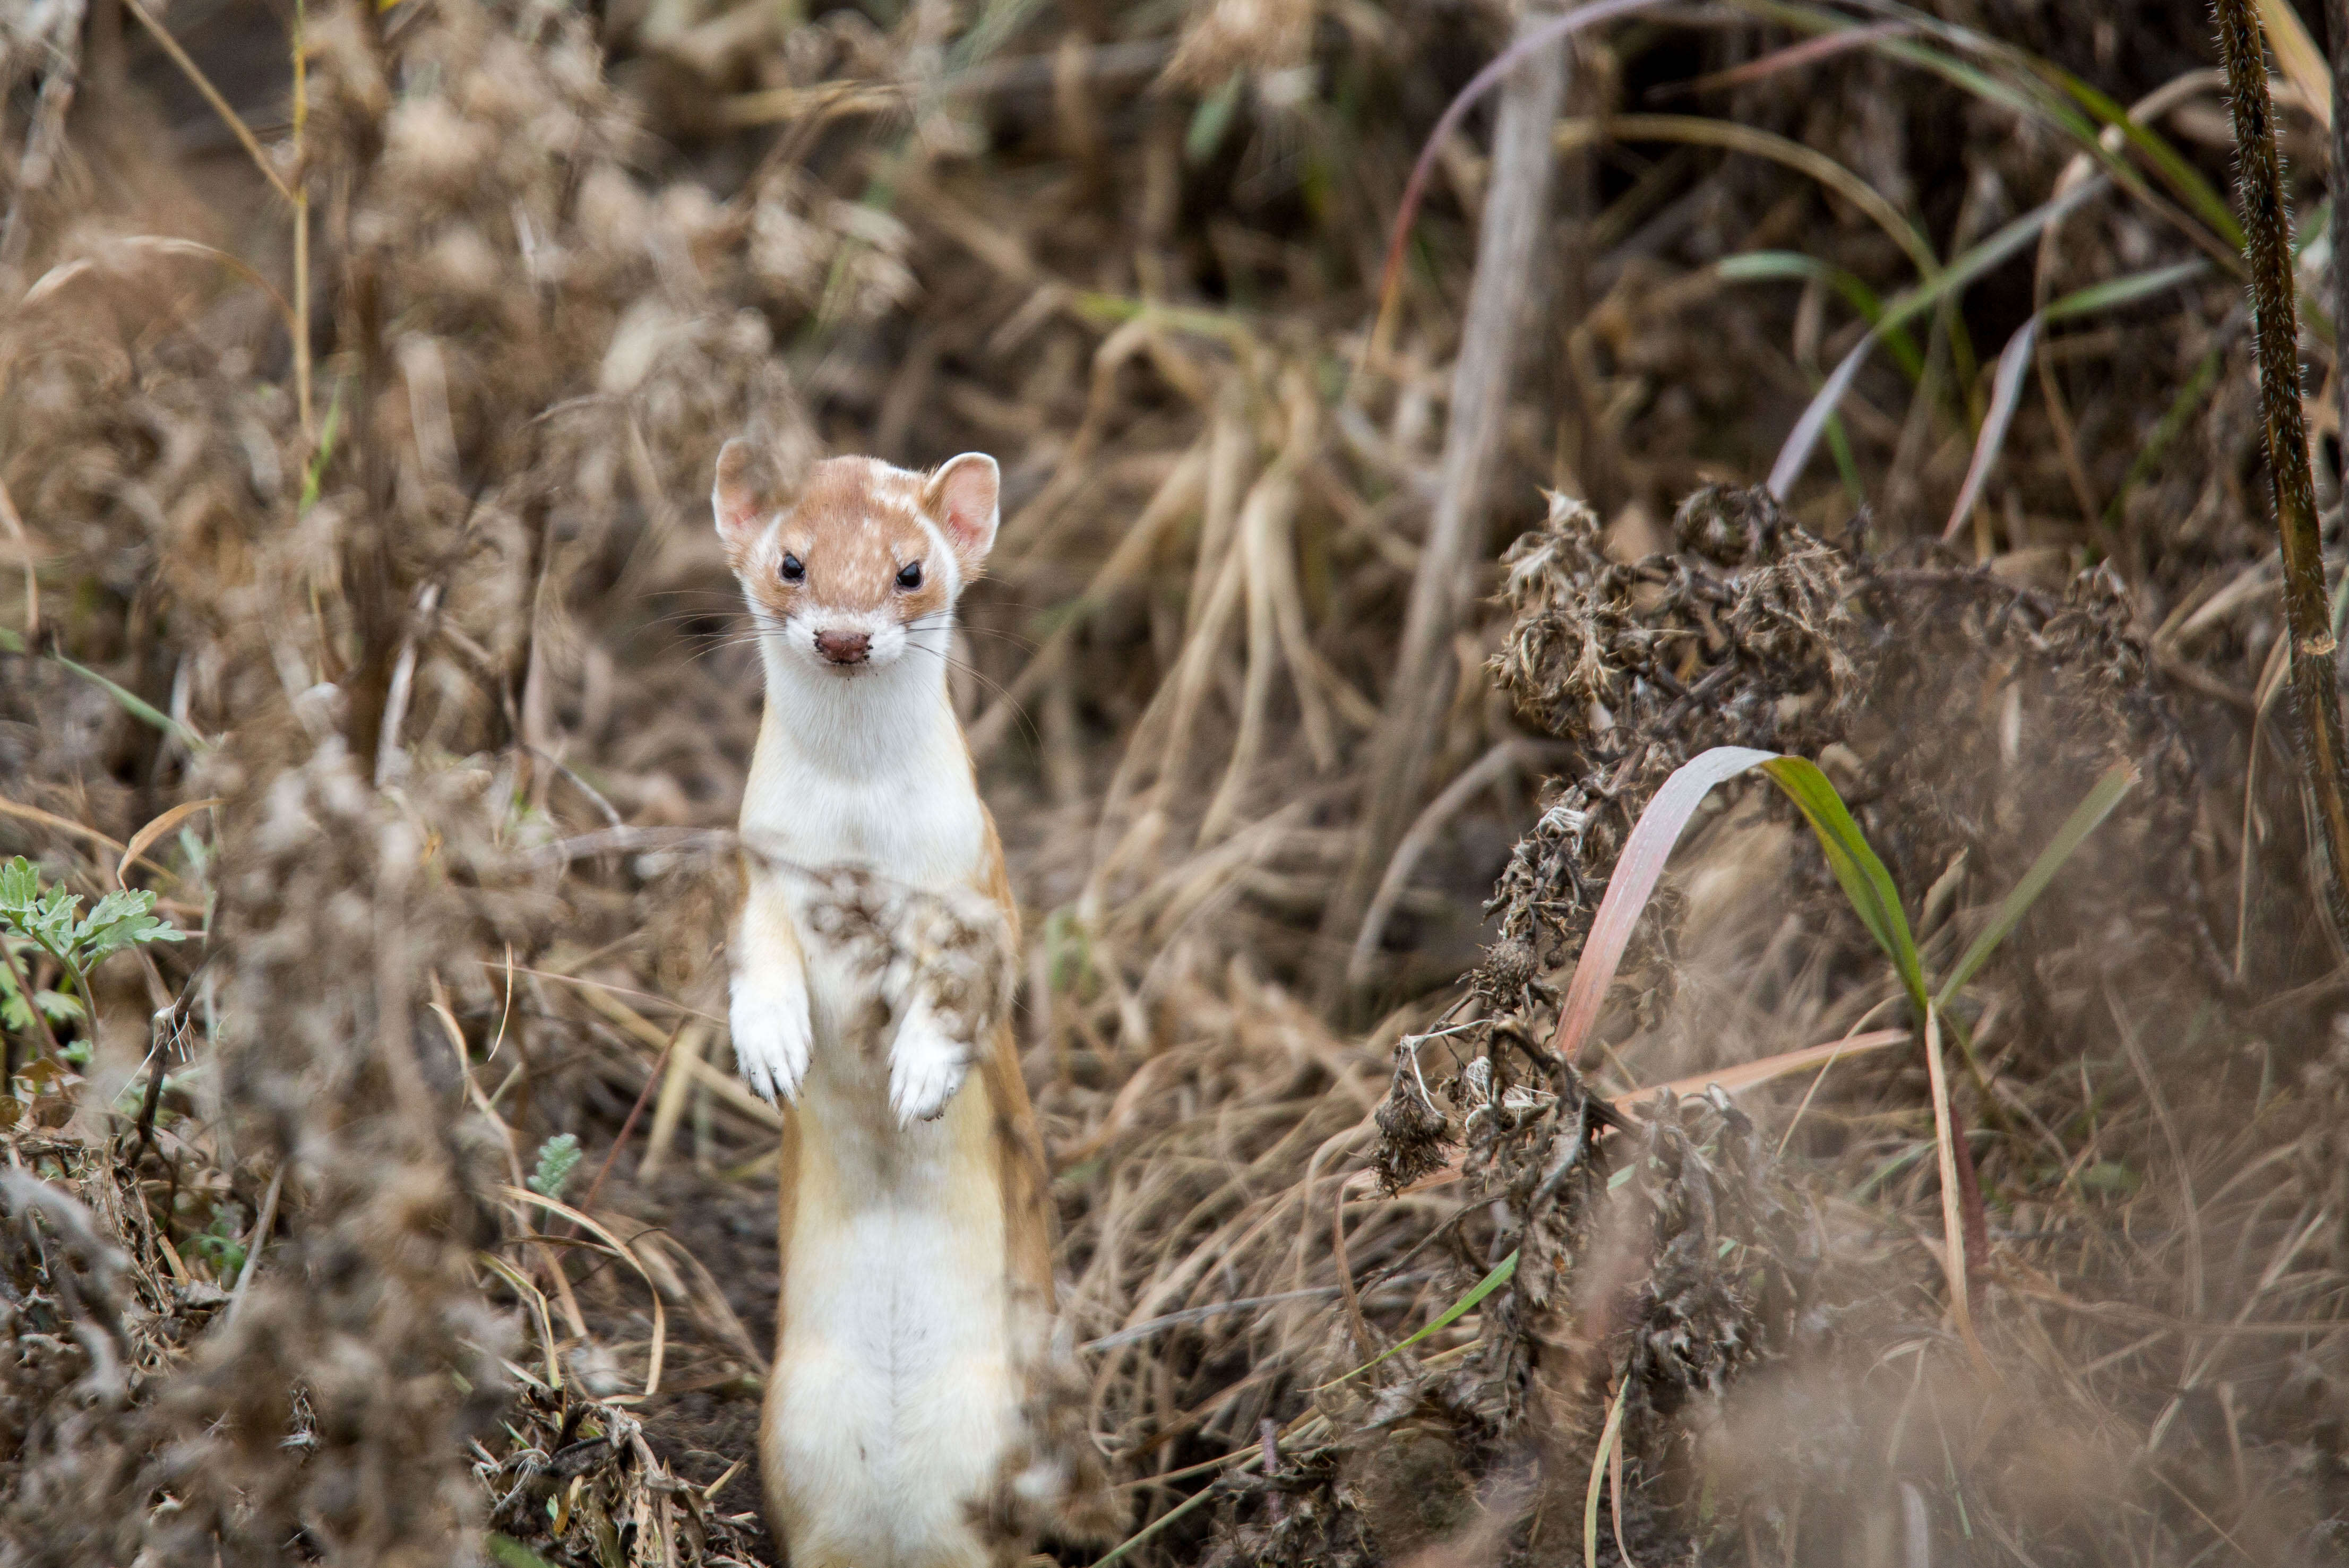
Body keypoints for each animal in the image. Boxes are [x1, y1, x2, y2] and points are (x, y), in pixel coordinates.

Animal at [704, 438, 1057, 1568]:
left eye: (910, 569)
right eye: (793, 562)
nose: (846, 635)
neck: (858, 839)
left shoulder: (977, 884)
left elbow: (968, 989)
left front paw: (919, 1072)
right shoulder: (760, 872)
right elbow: (758, 960)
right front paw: (773, 1044)